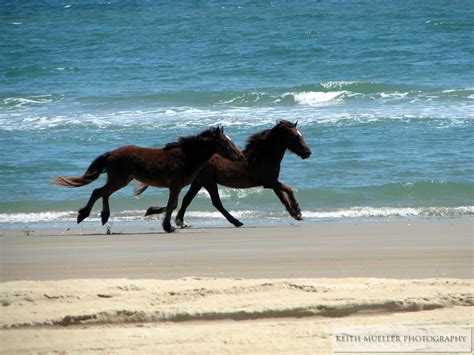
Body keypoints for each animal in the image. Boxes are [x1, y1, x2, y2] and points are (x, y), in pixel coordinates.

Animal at [53, 128, 243, 234]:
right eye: (225, 142)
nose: (240, 156)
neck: (185, 157)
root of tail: (112, 153)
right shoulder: (175, 186)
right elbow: (173, 205)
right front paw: (168, 227)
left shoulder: (176, 187)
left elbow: (173, 205)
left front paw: (158, 216)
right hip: (119, 179)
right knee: (98, 192)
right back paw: (83, 215)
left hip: (121, 180)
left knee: (104, 193)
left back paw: (104, 216)